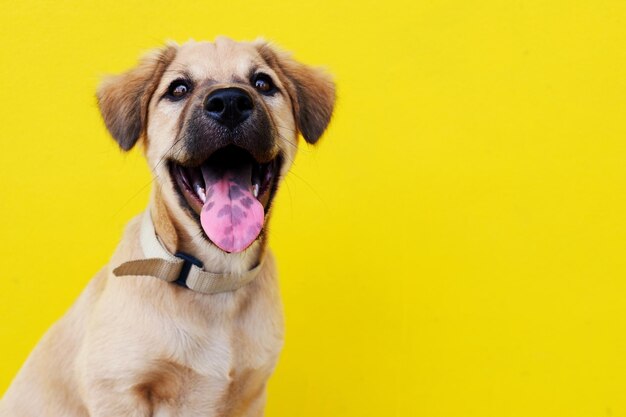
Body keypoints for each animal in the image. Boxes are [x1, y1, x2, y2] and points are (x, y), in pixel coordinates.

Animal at [0, 36, 334, 416]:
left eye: (263, 83)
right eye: (179, 89)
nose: (229, 103)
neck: (211, 280)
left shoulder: (250, 395)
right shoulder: (117, 389)